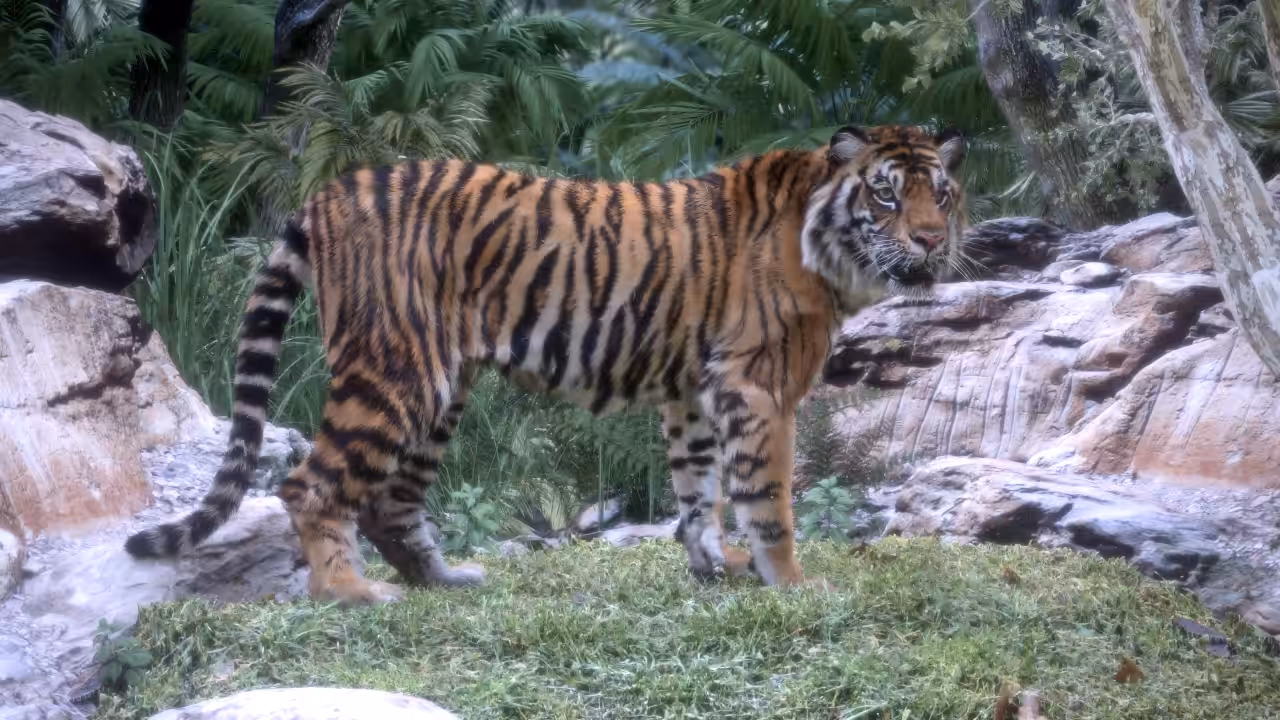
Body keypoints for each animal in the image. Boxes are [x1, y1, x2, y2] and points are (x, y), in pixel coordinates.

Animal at [124, 124, 968, 605]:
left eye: (943, 194)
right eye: (887, 196)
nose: (931, 241)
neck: (827, 243)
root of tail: (332, 190)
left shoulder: (696, 390)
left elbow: (699, 487)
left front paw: (712, 566)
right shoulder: (757, 386)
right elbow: (768, 497)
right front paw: (789, 585)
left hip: (444, 386)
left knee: (390, 501)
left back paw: (443, 581)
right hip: (396, 369)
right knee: (312, 485)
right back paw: (351, 594)